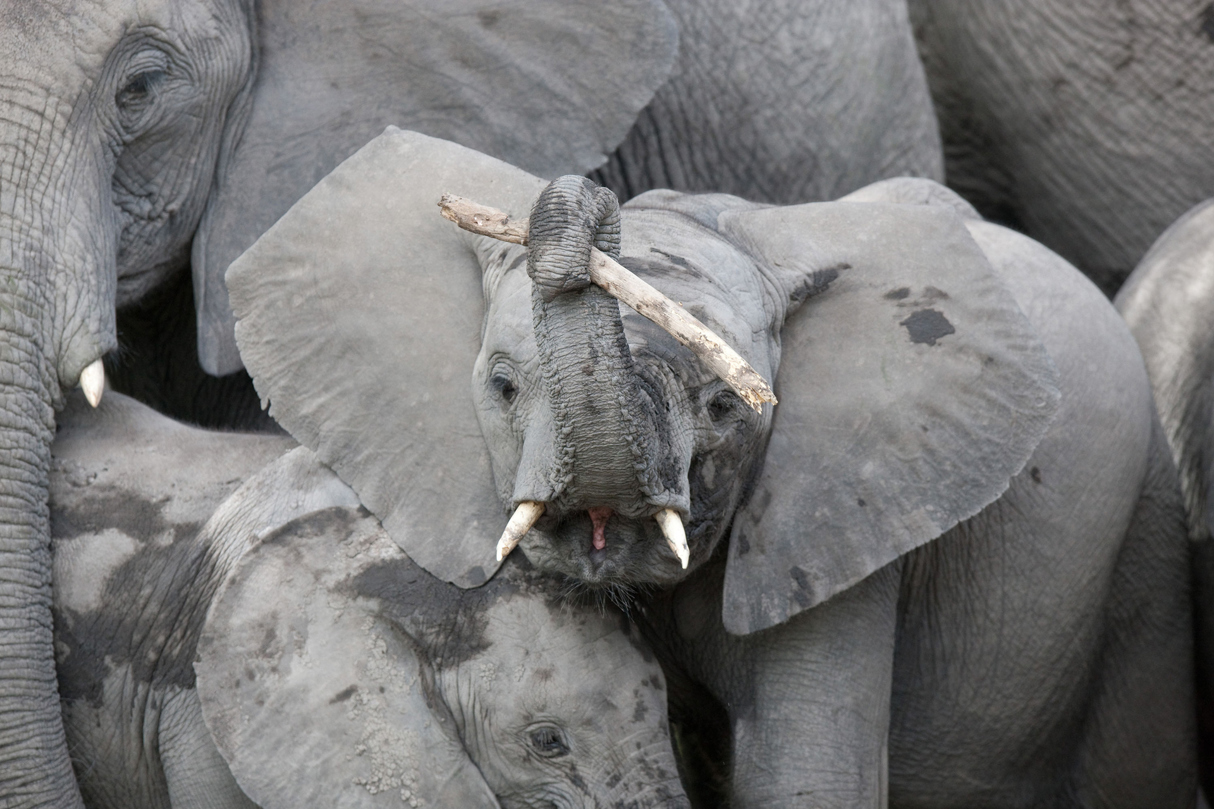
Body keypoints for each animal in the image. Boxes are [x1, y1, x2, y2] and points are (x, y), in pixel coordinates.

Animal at [225, 128, 1197, 806]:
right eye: (502, 385)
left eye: (727, 405)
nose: (590, 196)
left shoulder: (840, 518)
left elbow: (805, 776)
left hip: (1149, 512)